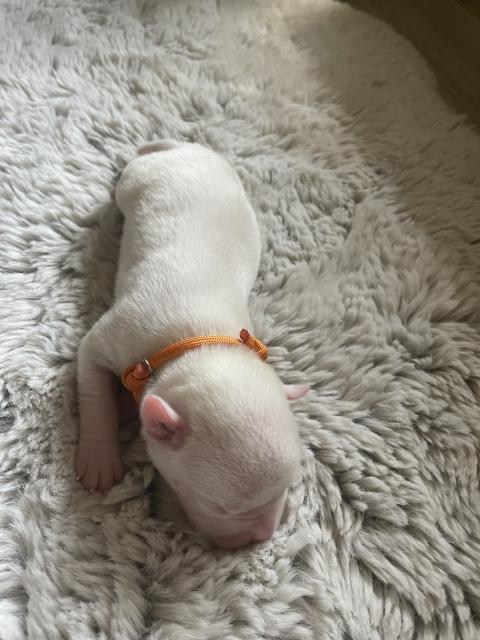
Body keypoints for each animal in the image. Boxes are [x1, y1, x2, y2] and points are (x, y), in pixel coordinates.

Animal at [75, 141, 308, 549]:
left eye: (286, 488)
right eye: (219, 507)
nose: (262, 538)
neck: (198, 342)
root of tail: (184, 148)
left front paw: (126, 408)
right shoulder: (113, 336)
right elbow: (93, 387)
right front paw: (100, 457)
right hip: (135, 182)